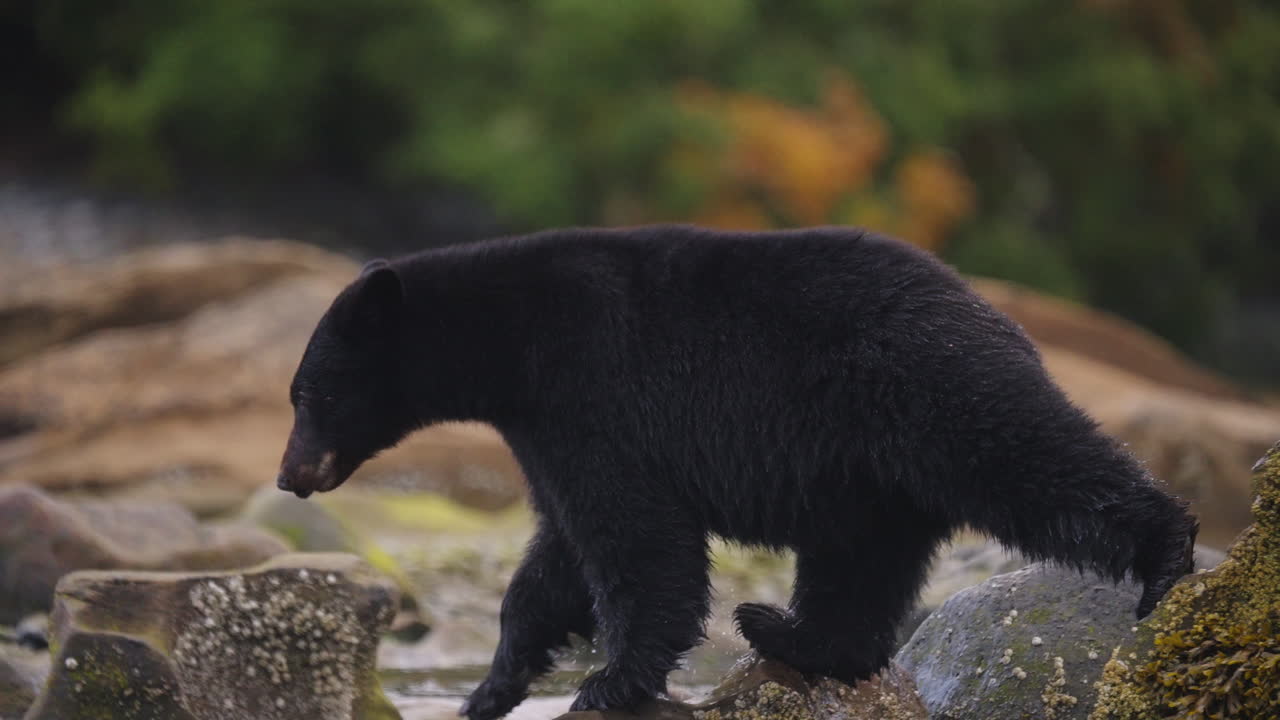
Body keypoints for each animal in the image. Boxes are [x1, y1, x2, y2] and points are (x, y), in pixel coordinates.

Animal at [275, 225, 1198, 720]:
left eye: (315, 391)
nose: (289, 476)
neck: (514, 340)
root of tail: (1001, 317)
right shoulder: (550, 428)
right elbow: (557, 558)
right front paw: (491, 688)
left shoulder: (595, 397)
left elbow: (636, 543)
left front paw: (609, 681)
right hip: (873, 474)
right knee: (861, 566)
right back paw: (786, 632)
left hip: (935, 392)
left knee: (1034, 461)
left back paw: (1168, 553)